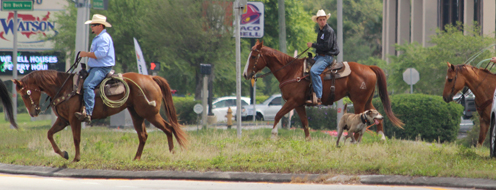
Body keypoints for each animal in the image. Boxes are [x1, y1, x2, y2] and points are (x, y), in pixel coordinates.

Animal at [14, 70, 188, 163]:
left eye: (25, 94)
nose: (33, 112)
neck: (64, 87)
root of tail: (150, 77)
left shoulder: (74, 119)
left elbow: (76, 138)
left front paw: (76, 158)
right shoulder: (62, 120)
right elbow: (49, 134)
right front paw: (64, 154)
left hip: (150, 113)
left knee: (169, 128)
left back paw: (172, 154)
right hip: (136, 114)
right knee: (144, 135)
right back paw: (137, 158)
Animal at [244, 41, 404, 140]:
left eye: (253, 56)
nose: (245, 74)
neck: (291, 71)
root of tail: (369, 67)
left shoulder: (292, 101)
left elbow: (278, 115)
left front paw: (273, 135)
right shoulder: (299, 104)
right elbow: (305, 123)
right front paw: (308, 141)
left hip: (358, 101)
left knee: (361, 120)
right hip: (367, 100)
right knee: (376, 115)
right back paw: (382, 138)